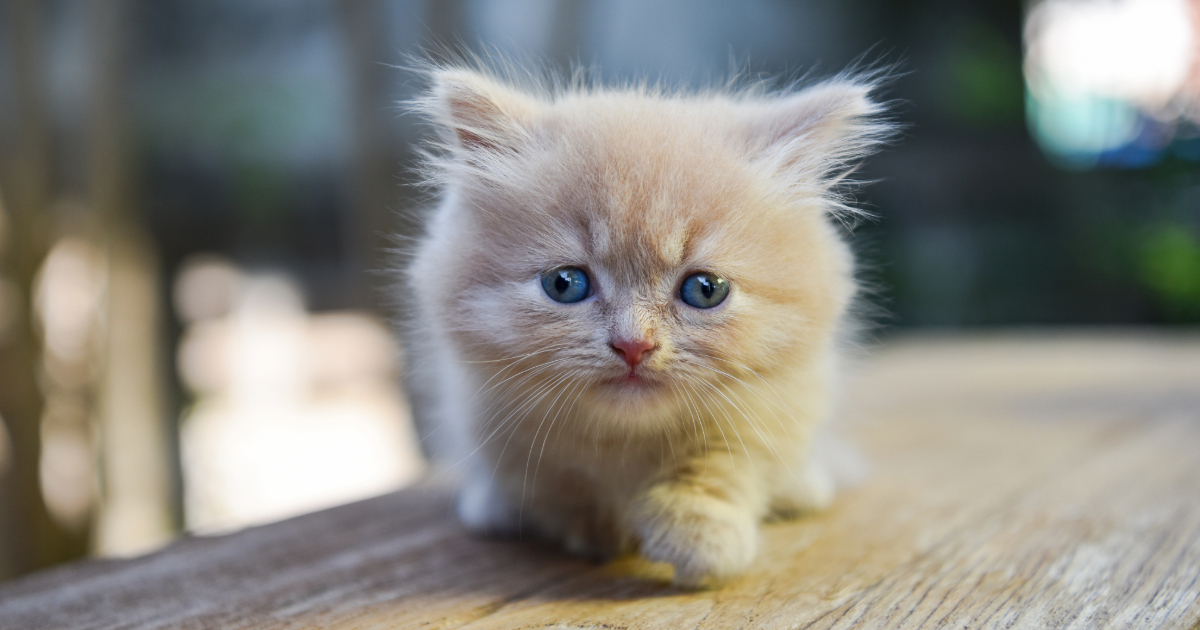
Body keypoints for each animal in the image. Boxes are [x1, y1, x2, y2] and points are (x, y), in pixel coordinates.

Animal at [408, 63, 888, 585]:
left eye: (706, 289)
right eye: (565, 284)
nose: (633, 344)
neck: (627, 442)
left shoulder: (774, 407)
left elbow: (723, 467)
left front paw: (700, 536)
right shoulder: (492, 418)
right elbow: (560, 488)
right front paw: (601, 530)